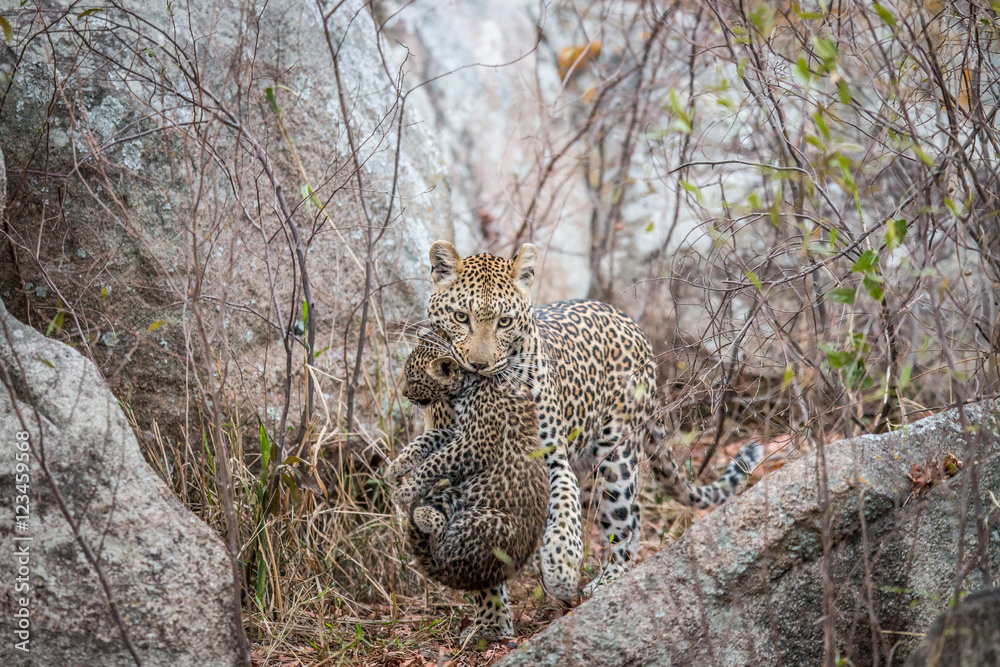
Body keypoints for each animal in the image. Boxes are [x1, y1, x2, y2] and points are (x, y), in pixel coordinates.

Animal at [387, 334, 548, 639]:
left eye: (413, 377)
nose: (403, 393)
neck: (473, 380)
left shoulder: (476, 443)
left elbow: (434, 461)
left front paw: (406, 489)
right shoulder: (457, 433)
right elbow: (429, 438)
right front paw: (399, 464)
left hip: (487, 520)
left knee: (443, 556)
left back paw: (426, 517)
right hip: (454, 496)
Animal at [421, 240, 764, 602]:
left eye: (504, 322)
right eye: (461, 317)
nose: (479, 365)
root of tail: (625, 318)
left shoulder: (551, 458)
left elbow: (563, 511)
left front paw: (560, 566)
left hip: (616, 454)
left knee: (622, 517)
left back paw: (609, 580)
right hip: (588, 468)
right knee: (631, 514)